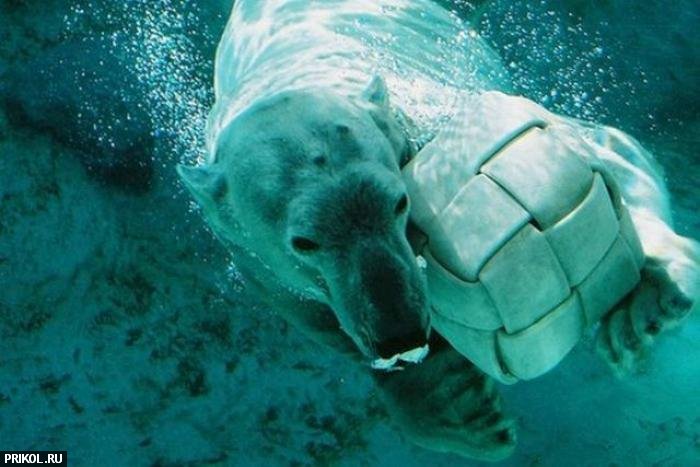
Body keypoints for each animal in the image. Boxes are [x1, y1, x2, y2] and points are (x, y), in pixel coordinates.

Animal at [178, 0, 697, 460]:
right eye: (303, 242)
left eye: (401, 202)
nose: (401, 335)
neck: (299, 76)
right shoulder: (253, 258)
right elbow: (319, 318)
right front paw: (464, 411)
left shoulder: (435, 108)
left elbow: (608, 142)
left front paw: (648, 305)